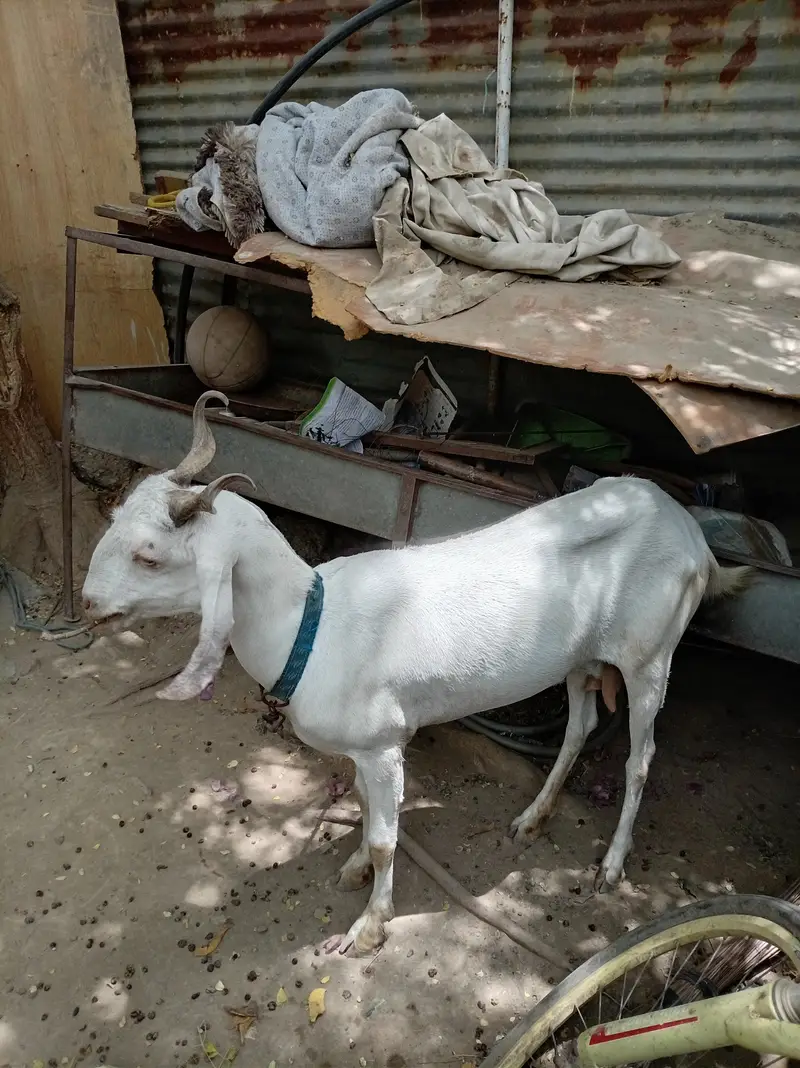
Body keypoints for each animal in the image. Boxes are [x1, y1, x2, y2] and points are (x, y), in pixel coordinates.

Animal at [82, 392, 749, 955]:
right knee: (580, 727)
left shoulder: (383, 745)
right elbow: (362, 806)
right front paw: (354, 866)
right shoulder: (364, 748)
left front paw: (369, 926)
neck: (311, 625)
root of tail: (691, 533)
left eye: (149, 556)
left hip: (651, 656)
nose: (88, 604)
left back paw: (610, 864)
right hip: (581, 658)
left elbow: (385, 837)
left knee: (640, 757)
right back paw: (533, 817)